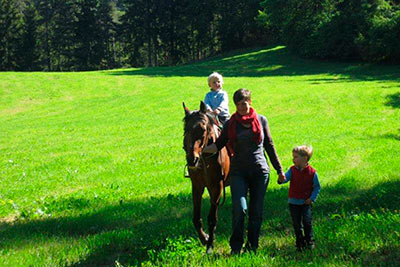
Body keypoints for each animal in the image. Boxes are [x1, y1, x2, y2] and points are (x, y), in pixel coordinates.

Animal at [182, 101, 230, 255]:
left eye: (202, 129)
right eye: (185, 129)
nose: (192, 159)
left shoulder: (217, 187)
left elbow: (212, 218)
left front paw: (209, 246)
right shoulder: (197, 186)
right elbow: (196, 218)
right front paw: (205, 238)